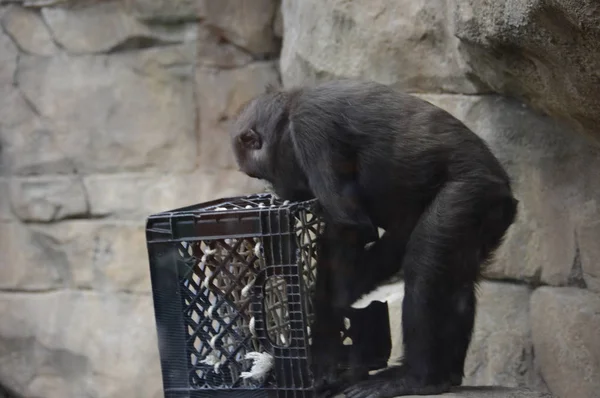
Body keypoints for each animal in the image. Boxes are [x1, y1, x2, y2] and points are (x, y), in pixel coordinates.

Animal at [229, 78, 516, 398]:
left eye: (259, 175)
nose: (275, 191)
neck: (289, 113)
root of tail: (505, 190)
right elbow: (385, 243)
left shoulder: (311, 129)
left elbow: (350, 227)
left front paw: (324, 346)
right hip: (488, 214)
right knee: (459, 285)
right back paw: (447, 374)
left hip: (469, 193)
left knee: (425, 271)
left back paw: (417, 378)